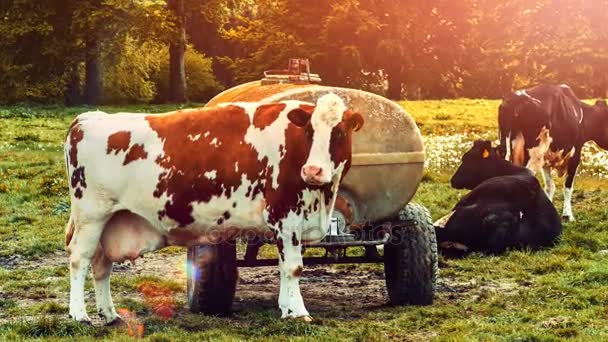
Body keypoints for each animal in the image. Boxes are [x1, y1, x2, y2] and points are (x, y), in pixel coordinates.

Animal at [64, 93, 364, 324]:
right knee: (79, 258)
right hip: (91, 215)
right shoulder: (286, 214)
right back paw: (79, 314)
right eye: (310, 132)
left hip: (112, 220)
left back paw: (109, 313)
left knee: (101, 264)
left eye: (339, 133)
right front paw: (299, 312)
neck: (321, 198)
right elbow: (293, 267)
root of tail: (87, 118)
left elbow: (283, 266)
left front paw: (286, 308)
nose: (313, 170)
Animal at [496, 84, 608, 220]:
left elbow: (550, 186)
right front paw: (567, 215)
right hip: (534, 155)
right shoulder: (575, 154)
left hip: (507, 149)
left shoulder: (546, 159)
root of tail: (513, 98)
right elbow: (568, 186)